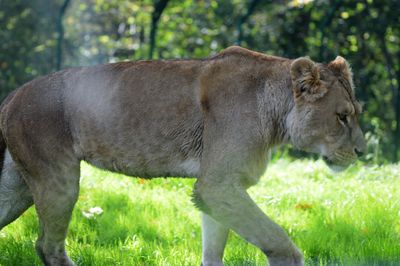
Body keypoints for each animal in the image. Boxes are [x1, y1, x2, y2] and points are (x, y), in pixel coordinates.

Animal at [0, 46, 364, 264]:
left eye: (353, 114)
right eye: (342, 116)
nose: (361, 152)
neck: (276, 113)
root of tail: (13, 94)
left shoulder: (221, 190)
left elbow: (214, 249)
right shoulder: (217, 185)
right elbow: (276, 238)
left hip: (18, 186)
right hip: (57, 180)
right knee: (47, 245)